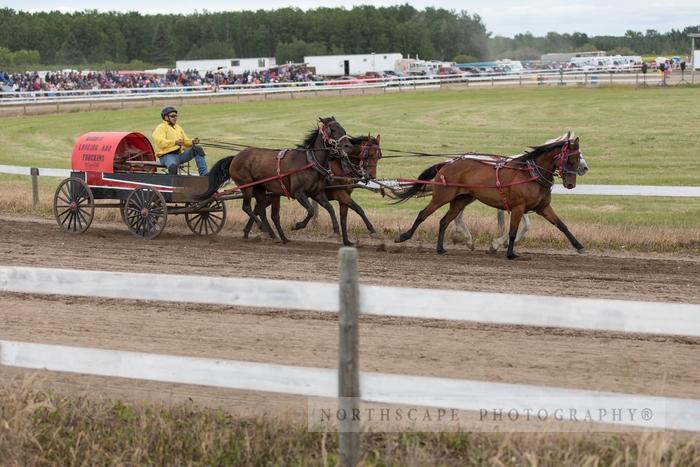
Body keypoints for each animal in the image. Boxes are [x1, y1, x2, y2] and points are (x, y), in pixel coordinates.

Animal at [196, 117, 350, 243]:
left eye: (343, 129)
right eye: (333, 129)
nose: (347, 145)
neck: (309, 162)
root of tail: (235, 157)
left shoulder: (316, 193)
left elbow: (330, 208)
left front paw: (336, 230)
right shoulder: (298, 193)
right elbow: (311, 210)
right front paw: (297, 225)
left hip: (260, 188)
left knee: (262, 211)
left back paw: (275, 235)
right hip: (247, 185)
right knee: (247, 207)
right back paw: (262, 227)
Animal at [394, 133, 584, 260]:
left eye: (578, 157)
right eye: (570, 160)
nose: (571, 184)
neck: (530, 174)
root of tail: (448, 163)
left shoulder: (542, 207)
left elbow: (562, 226)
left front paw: (579, 246)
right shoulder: (518, 207)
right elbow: (513, 231)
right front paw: (510, 253)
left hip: (461, 199)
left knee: (444, 221)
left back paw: (441, 248)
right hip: (442, 196)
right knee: (423, 214)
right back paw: (403, 237)